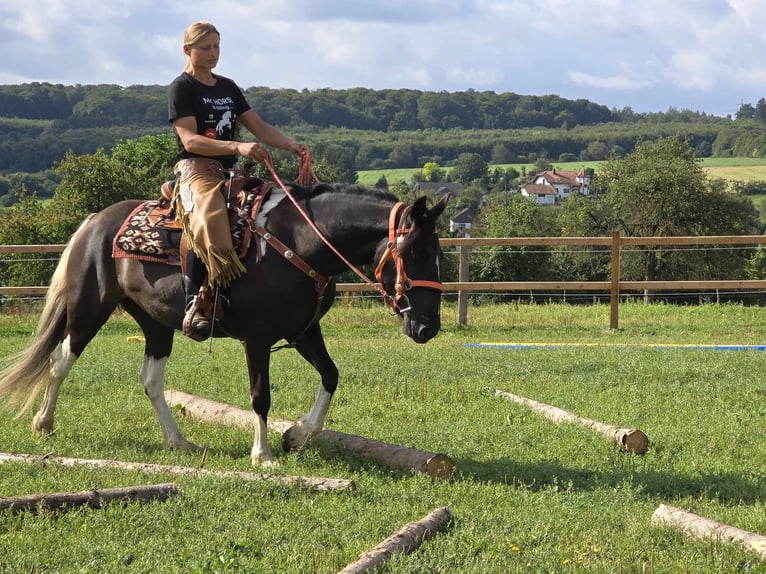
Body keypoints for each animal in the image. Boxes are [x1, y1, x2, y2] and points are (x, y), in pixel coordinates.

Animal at [0, 184, 450, 468]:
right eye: (414, 253)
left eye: (438, 254)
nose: (428, 327)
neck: (300, 245)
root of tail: (94, 222)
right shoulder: (258, 338)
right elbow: (260, 396)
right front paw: (262, 455)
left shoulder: (303, 332)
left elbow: (331, 376)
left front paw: (297, 435)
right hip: (88, 310)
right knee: (60, 361)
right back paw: (44, 423)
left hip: (156, 324)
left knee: (150, 380)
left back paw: (178, 441)